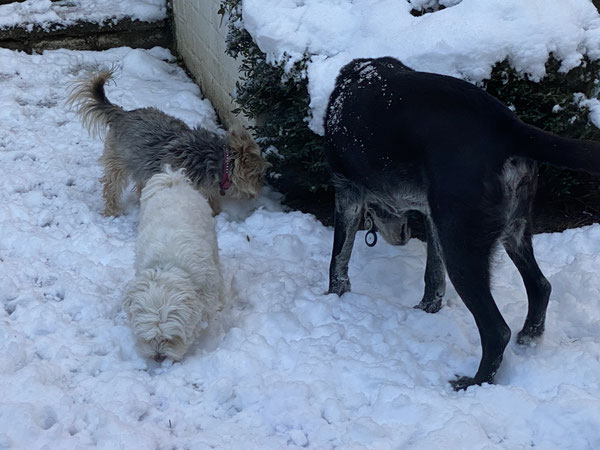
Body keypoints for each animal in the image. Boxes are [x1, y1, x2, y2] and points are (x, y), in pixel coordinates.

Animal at [67, 70, 270, 216]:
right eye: (259, 176)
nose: (260, 191)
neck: (219, 161)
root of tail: (122, 114)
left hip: (142, 162)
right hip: (118, 160)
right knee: (111, 186)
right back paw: (112, 210)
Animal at [123, 166, 224, 362]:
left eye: (170, 338)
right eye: (148, 337)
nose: (158, 357)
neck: (168, 266)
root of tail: (172, 180)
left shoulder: (207, 290)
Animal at [326, 57, 600, 390]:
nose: (401, 236)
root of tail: (509, 127)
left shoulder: (347, 192)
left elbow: (338, 260)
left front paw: (333, 297)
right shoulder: (432, 215)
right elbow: (433, 275)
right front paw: (427, 310)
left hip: (462, 247)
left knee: (497, 330)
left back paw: (474, 381)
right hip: (512, 230)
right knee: (540, 286)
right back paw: (530, 337)